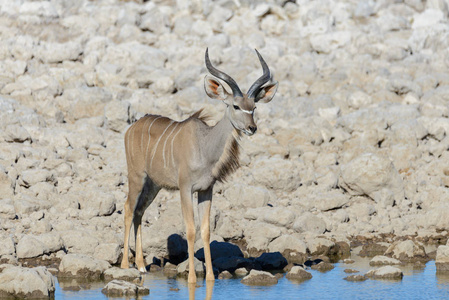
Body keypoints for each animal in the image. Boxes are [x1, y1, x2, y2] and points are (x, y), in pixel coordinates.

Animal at [121, 48, 278, 282]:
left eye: (254, 107)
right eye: (235, 105)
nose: (252, 128)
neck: (205, 146)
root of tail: (131, 128)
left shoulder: (206, 190)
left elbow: (205, 230)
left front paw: (211, 278)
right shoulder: (185, 189)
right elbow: (190, 229)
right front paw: (192, 279)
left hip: (153, 185)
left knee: (139, 211)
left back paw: (140, 265)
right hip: (137, 177)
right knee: (128, 209)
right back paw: (124, 265)